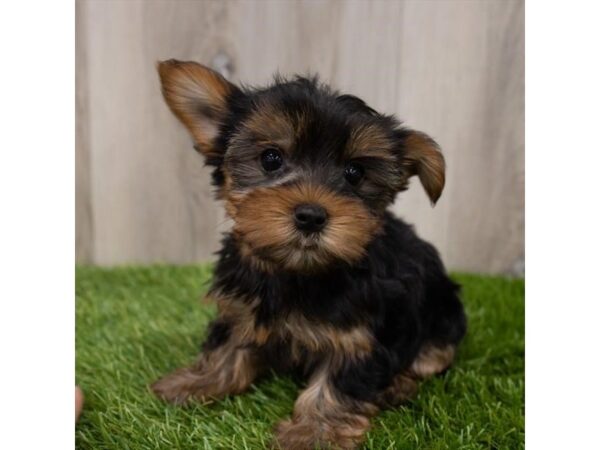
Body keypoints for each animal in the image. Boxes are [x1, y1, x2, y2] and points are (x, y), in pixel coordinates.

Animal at [152, 60, 466, 450]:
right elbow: (226, 344)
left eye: (355, 172)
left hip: (443, 312)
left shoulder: (358, 336)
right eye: (270, 159)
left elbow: (337, 383)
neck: (297, 271)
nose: (311, 216)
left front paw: (314, 433)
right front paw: (196, 381)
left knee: (432, 357)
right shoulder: (242, 305)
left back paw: (398, 384)